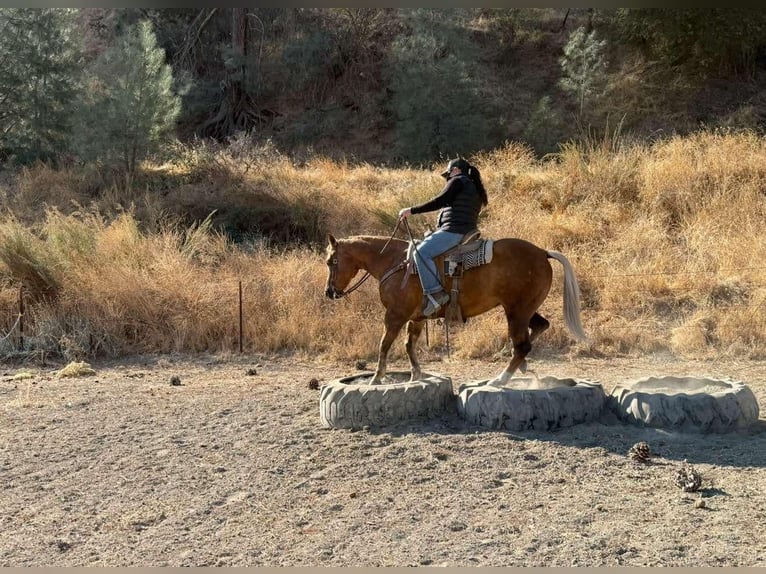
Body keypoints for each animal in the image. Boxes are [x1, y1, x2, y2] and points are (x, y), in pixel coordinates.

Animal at [324, 233, 586, 386]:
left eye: (330, 261)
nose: (329, 292)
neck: (394, 262)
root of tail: (542, 253)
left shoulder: (395, 316)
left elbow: (384, 344)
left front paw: (377, 377)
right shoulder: (416, 317)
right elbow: (409, 344)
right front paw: (415, 374)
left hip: (516, 311)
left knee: (522, 345)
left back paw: (500, 378)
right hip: (525, 310)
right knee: (540, 328)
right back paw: (521, 367)